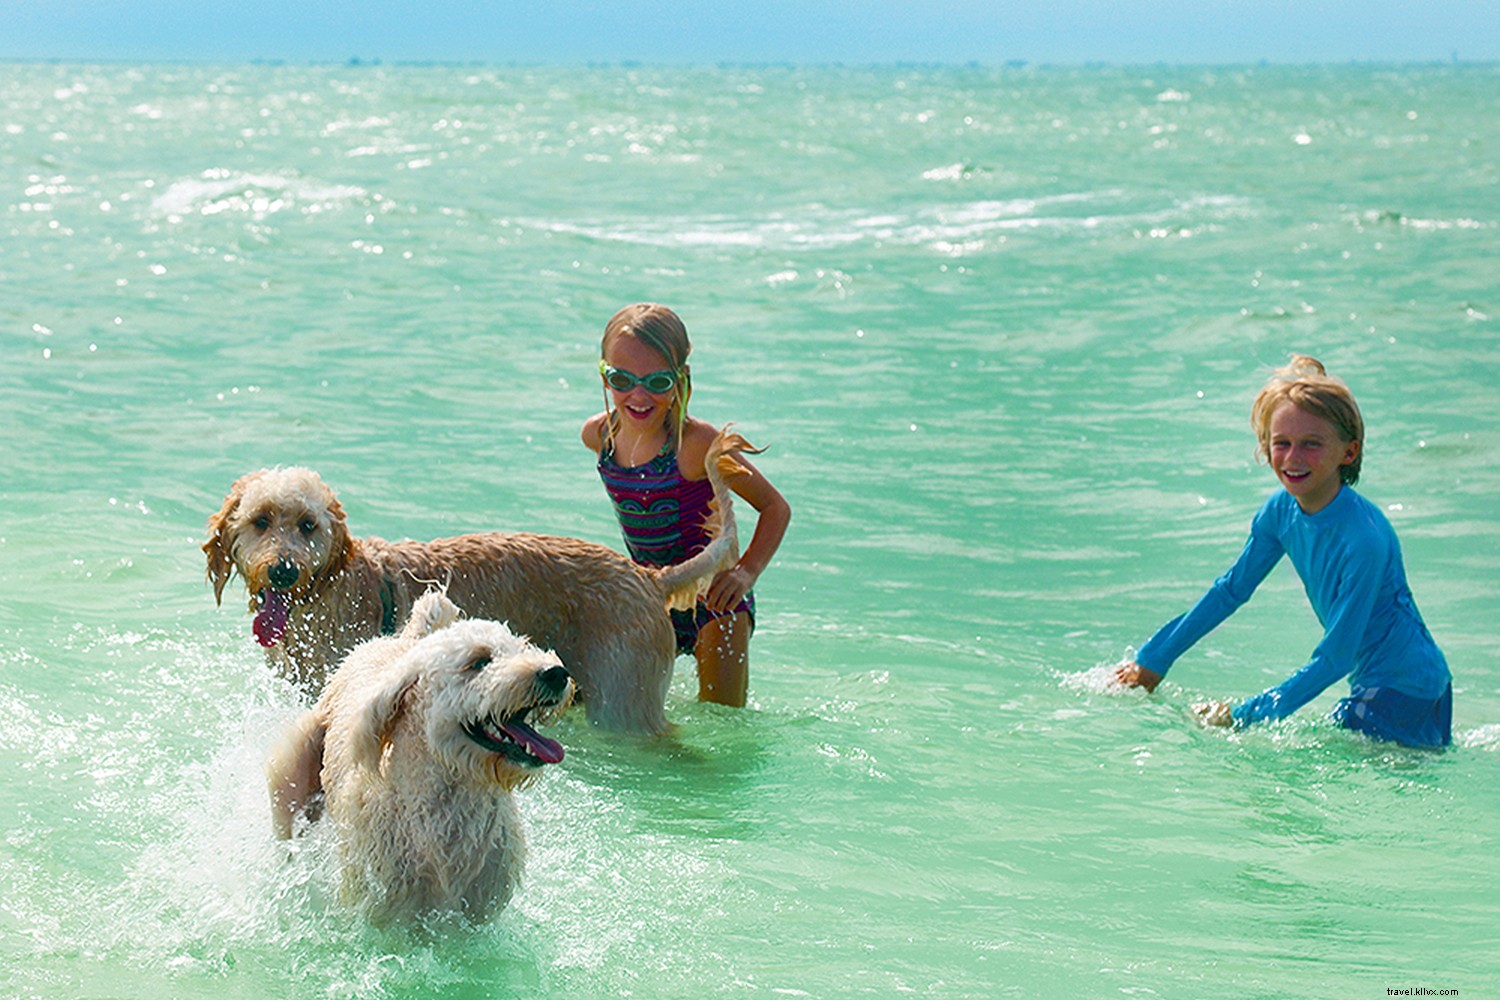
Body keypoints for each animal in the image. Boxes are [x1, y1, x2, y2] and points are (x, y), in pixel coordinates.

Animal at [202, 425, 750, 734]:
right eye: (261, 521)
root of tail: (648, 577)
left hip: (623, 699)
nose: (283, 570)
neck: (329, 585)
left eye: (308, 525)